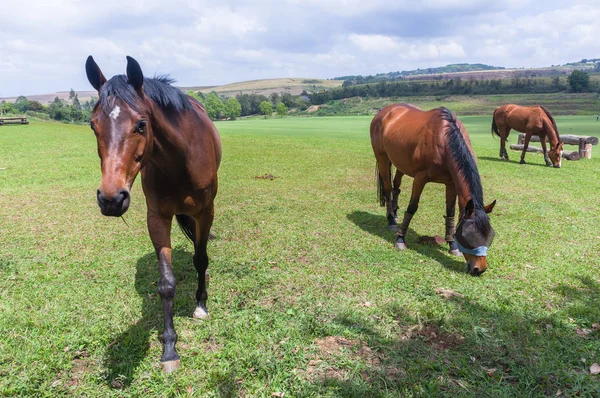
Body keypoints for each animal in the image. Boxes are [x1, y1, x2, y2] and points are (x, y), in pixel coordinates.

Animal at [85, 56, 221, 374]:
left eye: (141, 124)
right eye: (93, 125)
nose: (111, 199)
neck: (181, 161)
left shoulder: (205, 211)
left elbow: (201, 259)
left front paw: (201, 305)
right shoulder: (157, 218)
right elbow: (166, 284)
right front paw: (169, 348)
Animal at [370, 104, 496, 276]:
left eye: (490, 236)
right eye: (468, 236)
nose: (479, 269)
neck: (443, 139)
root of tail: (384, 111)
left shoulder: (451, 183)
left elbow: (450, 213)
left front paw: (452, 245)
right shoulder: (420, 178)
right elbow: (412, 207)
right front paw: (400, 240)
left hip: (400, 163)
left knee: (396, 187)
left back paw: (394, 214)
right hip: (382, 158)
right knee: (388, 189)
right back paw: (390, 219)